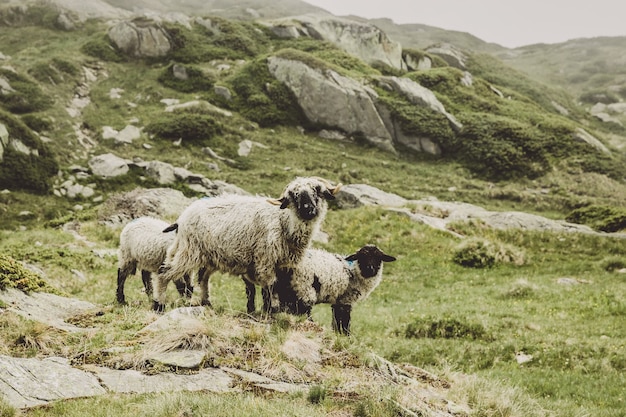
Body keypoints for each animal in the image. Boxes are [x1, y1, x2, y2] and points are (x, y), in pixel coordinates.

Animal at [152, 176, 342, 312]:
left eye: (317, 191)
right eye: (294, 195)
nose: (308, 209)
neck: (284, 222)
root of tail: (182, 217)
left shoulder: (285, 265)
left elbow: (276, 288)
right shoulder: (265, 260)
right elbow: (270, 287)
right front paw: (270, 311)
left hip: (205, 254)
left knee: (202, 278)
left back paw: (206, 303)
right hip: (190, 250)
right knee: (164, 273)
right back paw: (158, 304)